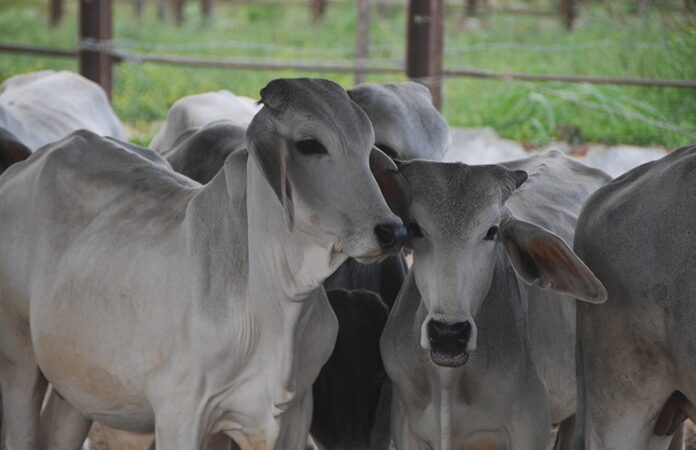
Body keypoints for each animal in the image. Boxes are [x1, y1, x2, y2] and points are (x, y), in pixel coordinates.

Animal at [0, 79, 408, 450]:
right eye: (310, 145)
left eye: (367, 146)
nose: (392, 230)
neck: (275, 303)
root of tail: (28, 163)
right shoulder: (181, 414)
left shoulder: (291, 416)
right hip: (19, 357)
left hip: (77, 385)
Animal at [380, 152, 608, 450]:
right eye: (414, 228)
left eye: (491, 232)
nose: (448, 334)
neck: (447, 378)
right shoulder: (403, 421)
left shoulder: (530, 424)